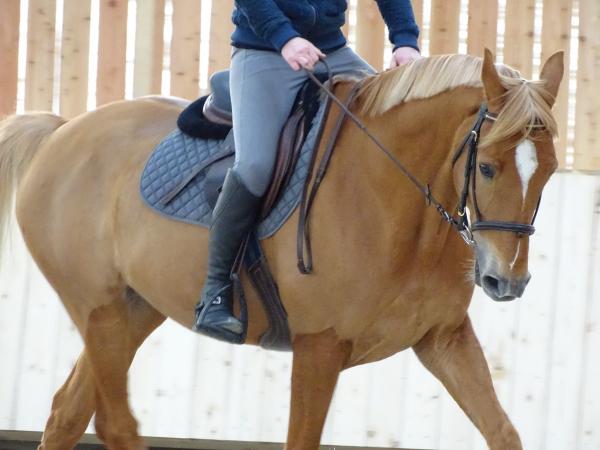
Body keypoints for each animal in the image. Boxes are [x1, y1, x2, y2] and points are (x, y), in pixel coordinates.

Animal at [0, 50, 564, 450]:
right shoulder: (319, 348)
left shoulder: (444, 338)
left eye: (551, 170)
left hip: (131, 311)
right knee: (116, 423)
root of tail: (63, 131)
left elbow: (504, 433)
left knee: (68, 414)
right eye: (486, 167)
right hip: (98, 310)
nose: (506, 281)